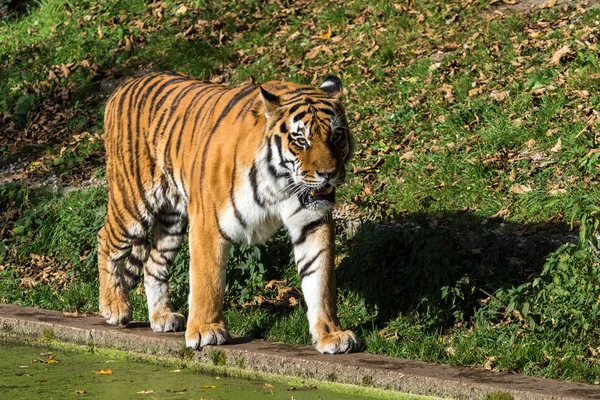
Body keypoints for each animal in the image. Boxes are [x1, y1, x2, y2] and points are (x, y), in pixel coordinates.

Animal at [97, 72, 360, 354]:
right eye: (301, 140)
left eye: (336, 136)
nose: (328, 174)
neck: (280, 184)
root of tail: (127, 82)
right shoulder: (207, 223)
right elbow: (208, 281)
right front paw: (206, 330)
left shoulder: (312, 223)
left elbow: (320, 280)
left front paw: (331, 334)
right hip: (132, 202)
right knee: (105, 240)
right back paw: (114, 307)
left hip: (171, 221)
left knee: (153, 263)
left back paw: (163, 316)